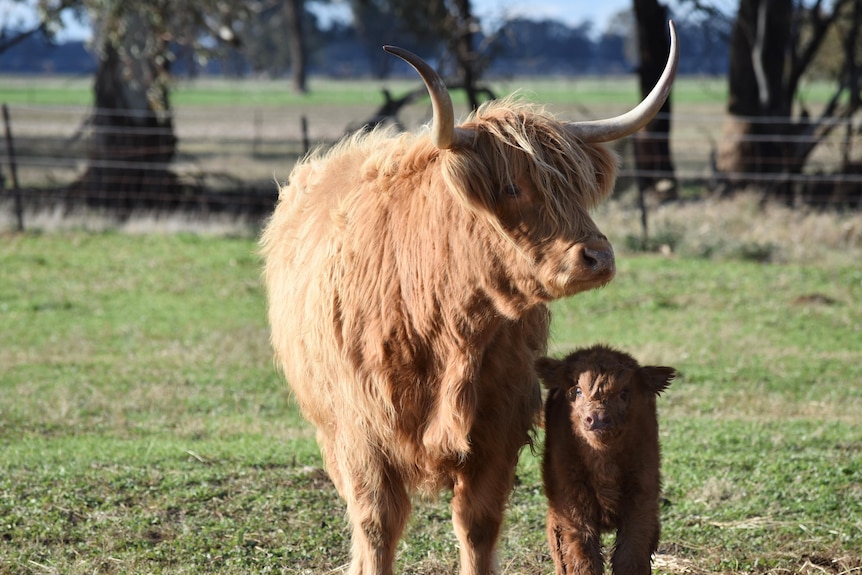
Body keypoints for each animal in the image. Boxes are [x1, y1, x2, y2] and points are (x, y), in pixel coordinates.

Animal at [536, 346, 680, 575]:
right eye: (578, 390)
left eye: (624, 392)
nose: (597, 418)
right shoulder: (571, 501)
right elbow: (582, 554)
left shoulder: (642, 495)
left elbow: (631, 553)